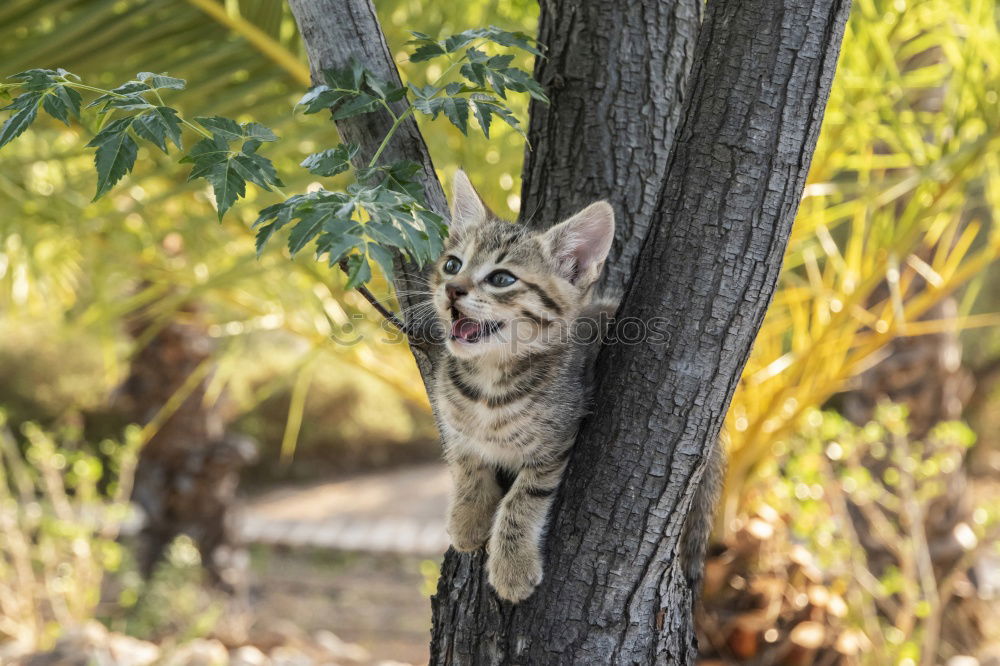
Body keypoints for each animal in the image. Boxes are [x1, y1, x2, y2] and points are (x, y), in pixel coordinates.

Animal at [430, 171, 616, 600]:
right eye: (452, 264)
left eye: (501, 278)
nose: (452, 288)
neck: (488, 382)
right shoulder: (452, 420)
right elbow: (466, 462)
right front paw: (468, 518)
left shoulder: (557, 441)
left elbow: (524, 498)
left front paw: (512, 566)